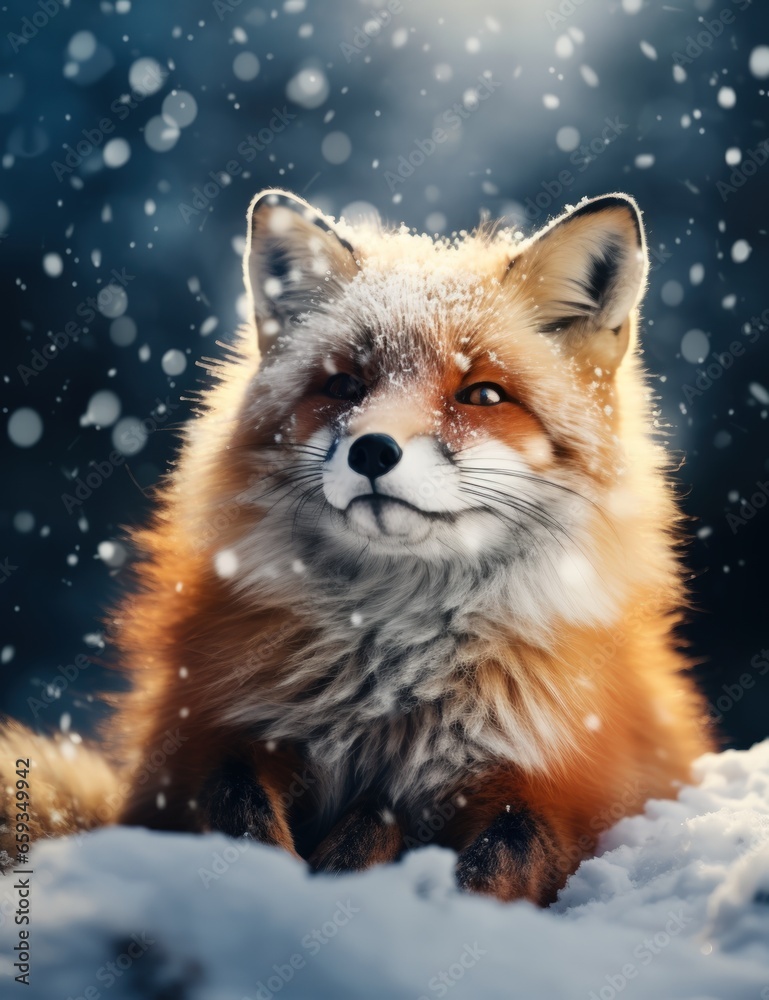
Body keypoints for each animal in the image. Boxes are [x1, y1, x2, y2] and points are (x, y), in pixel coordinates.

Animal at [0, 189, 714, 904]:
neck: (393, 674)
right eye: (344, 386)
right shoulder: (202, 740)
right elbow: (238, 809)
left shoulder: (562, 792)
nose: (372, 449)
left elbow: (500, 858)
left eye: (482, 394)